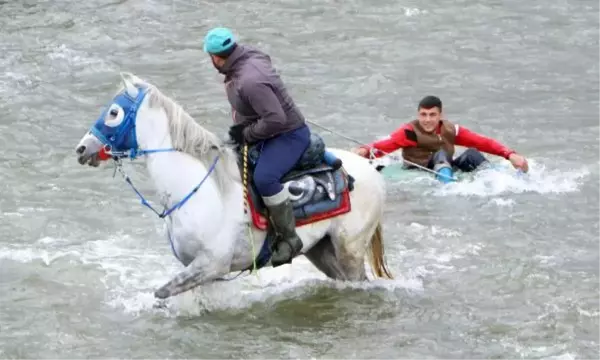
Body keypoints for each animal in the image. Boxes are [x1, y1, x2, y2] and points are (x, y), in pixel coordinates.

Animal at [74, 71, 394, 300]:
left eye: (113, 113)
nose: (82, 149)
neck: (198, 191)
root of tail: (369, 167)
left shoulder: (210, 265)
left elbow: (162, 293)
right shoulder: (201, 270)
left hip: (350, 248)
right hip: (320, 249)